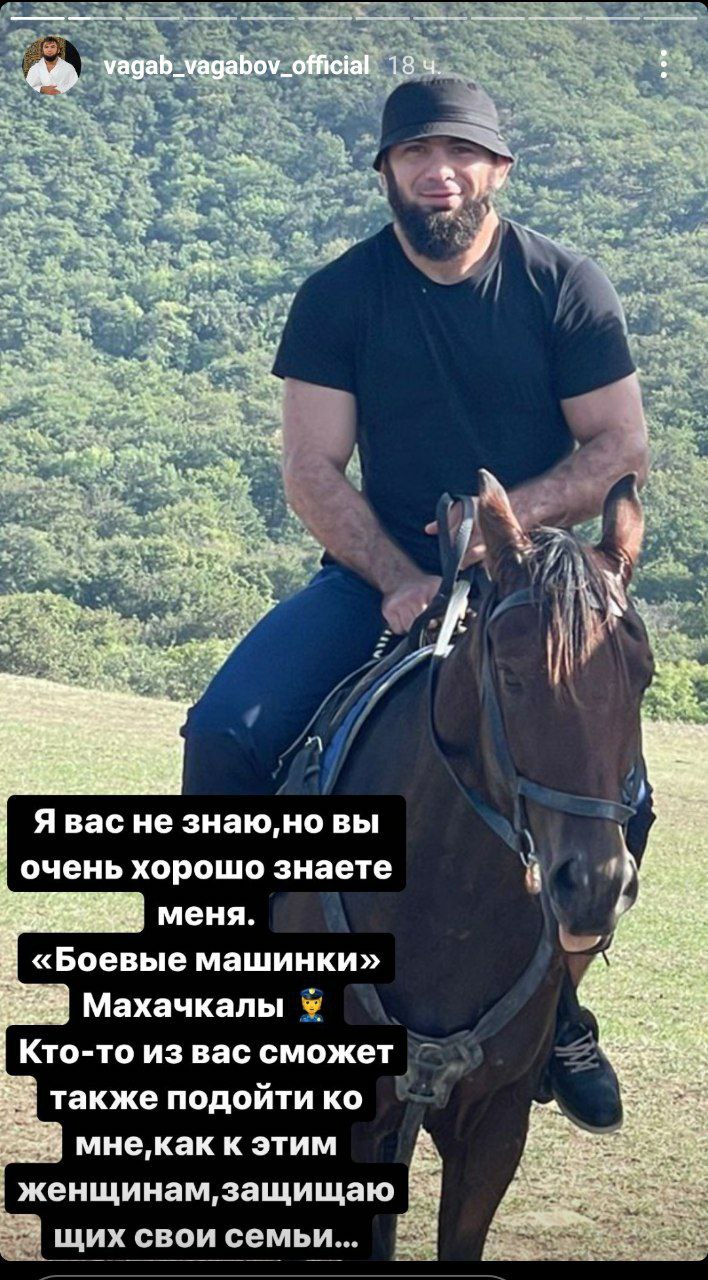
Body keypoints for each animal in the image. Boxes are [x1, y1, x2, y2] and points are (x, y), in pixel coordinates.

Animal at [272, 469, 654, 1261]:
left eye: (643, 677)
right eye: (510, 675)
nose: (594, 887)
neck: (449, 909)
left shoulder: (494, 1128)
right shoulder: (352, 1124)